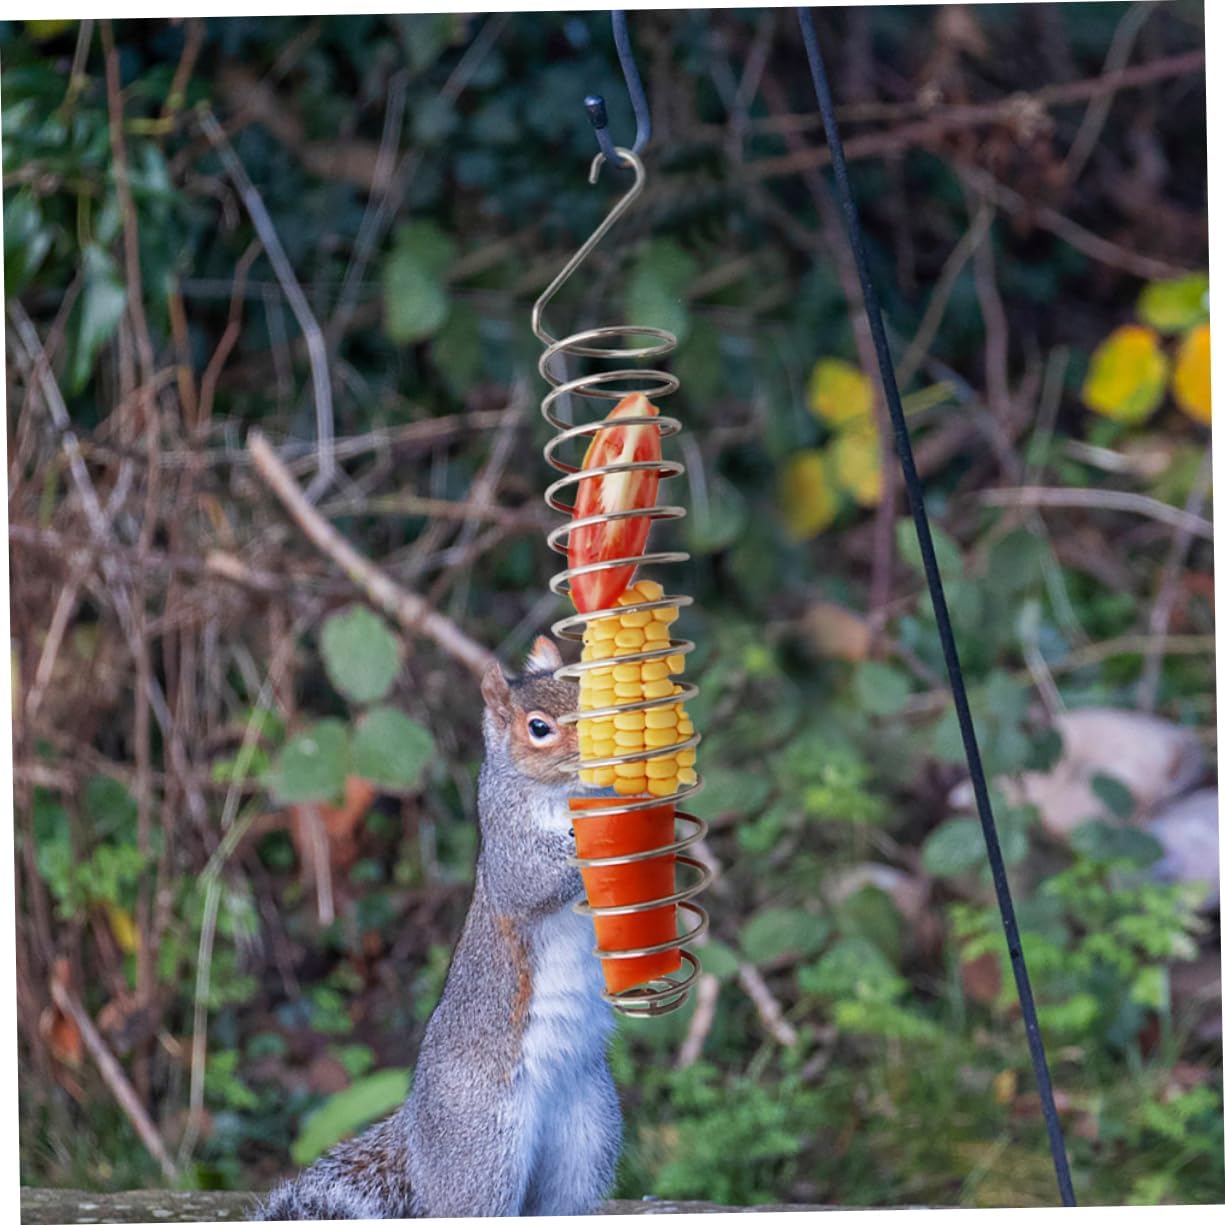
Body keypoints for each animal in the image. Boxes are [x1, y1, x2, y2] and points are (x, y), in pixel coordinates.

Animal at [256, 636, 622, 1220]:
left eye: (585, 688)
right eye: (539, 727)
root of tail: (416, 1131)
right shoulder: (509, 851)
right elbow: (536, 880)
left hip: (586, 1135)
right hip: (483, 1154)